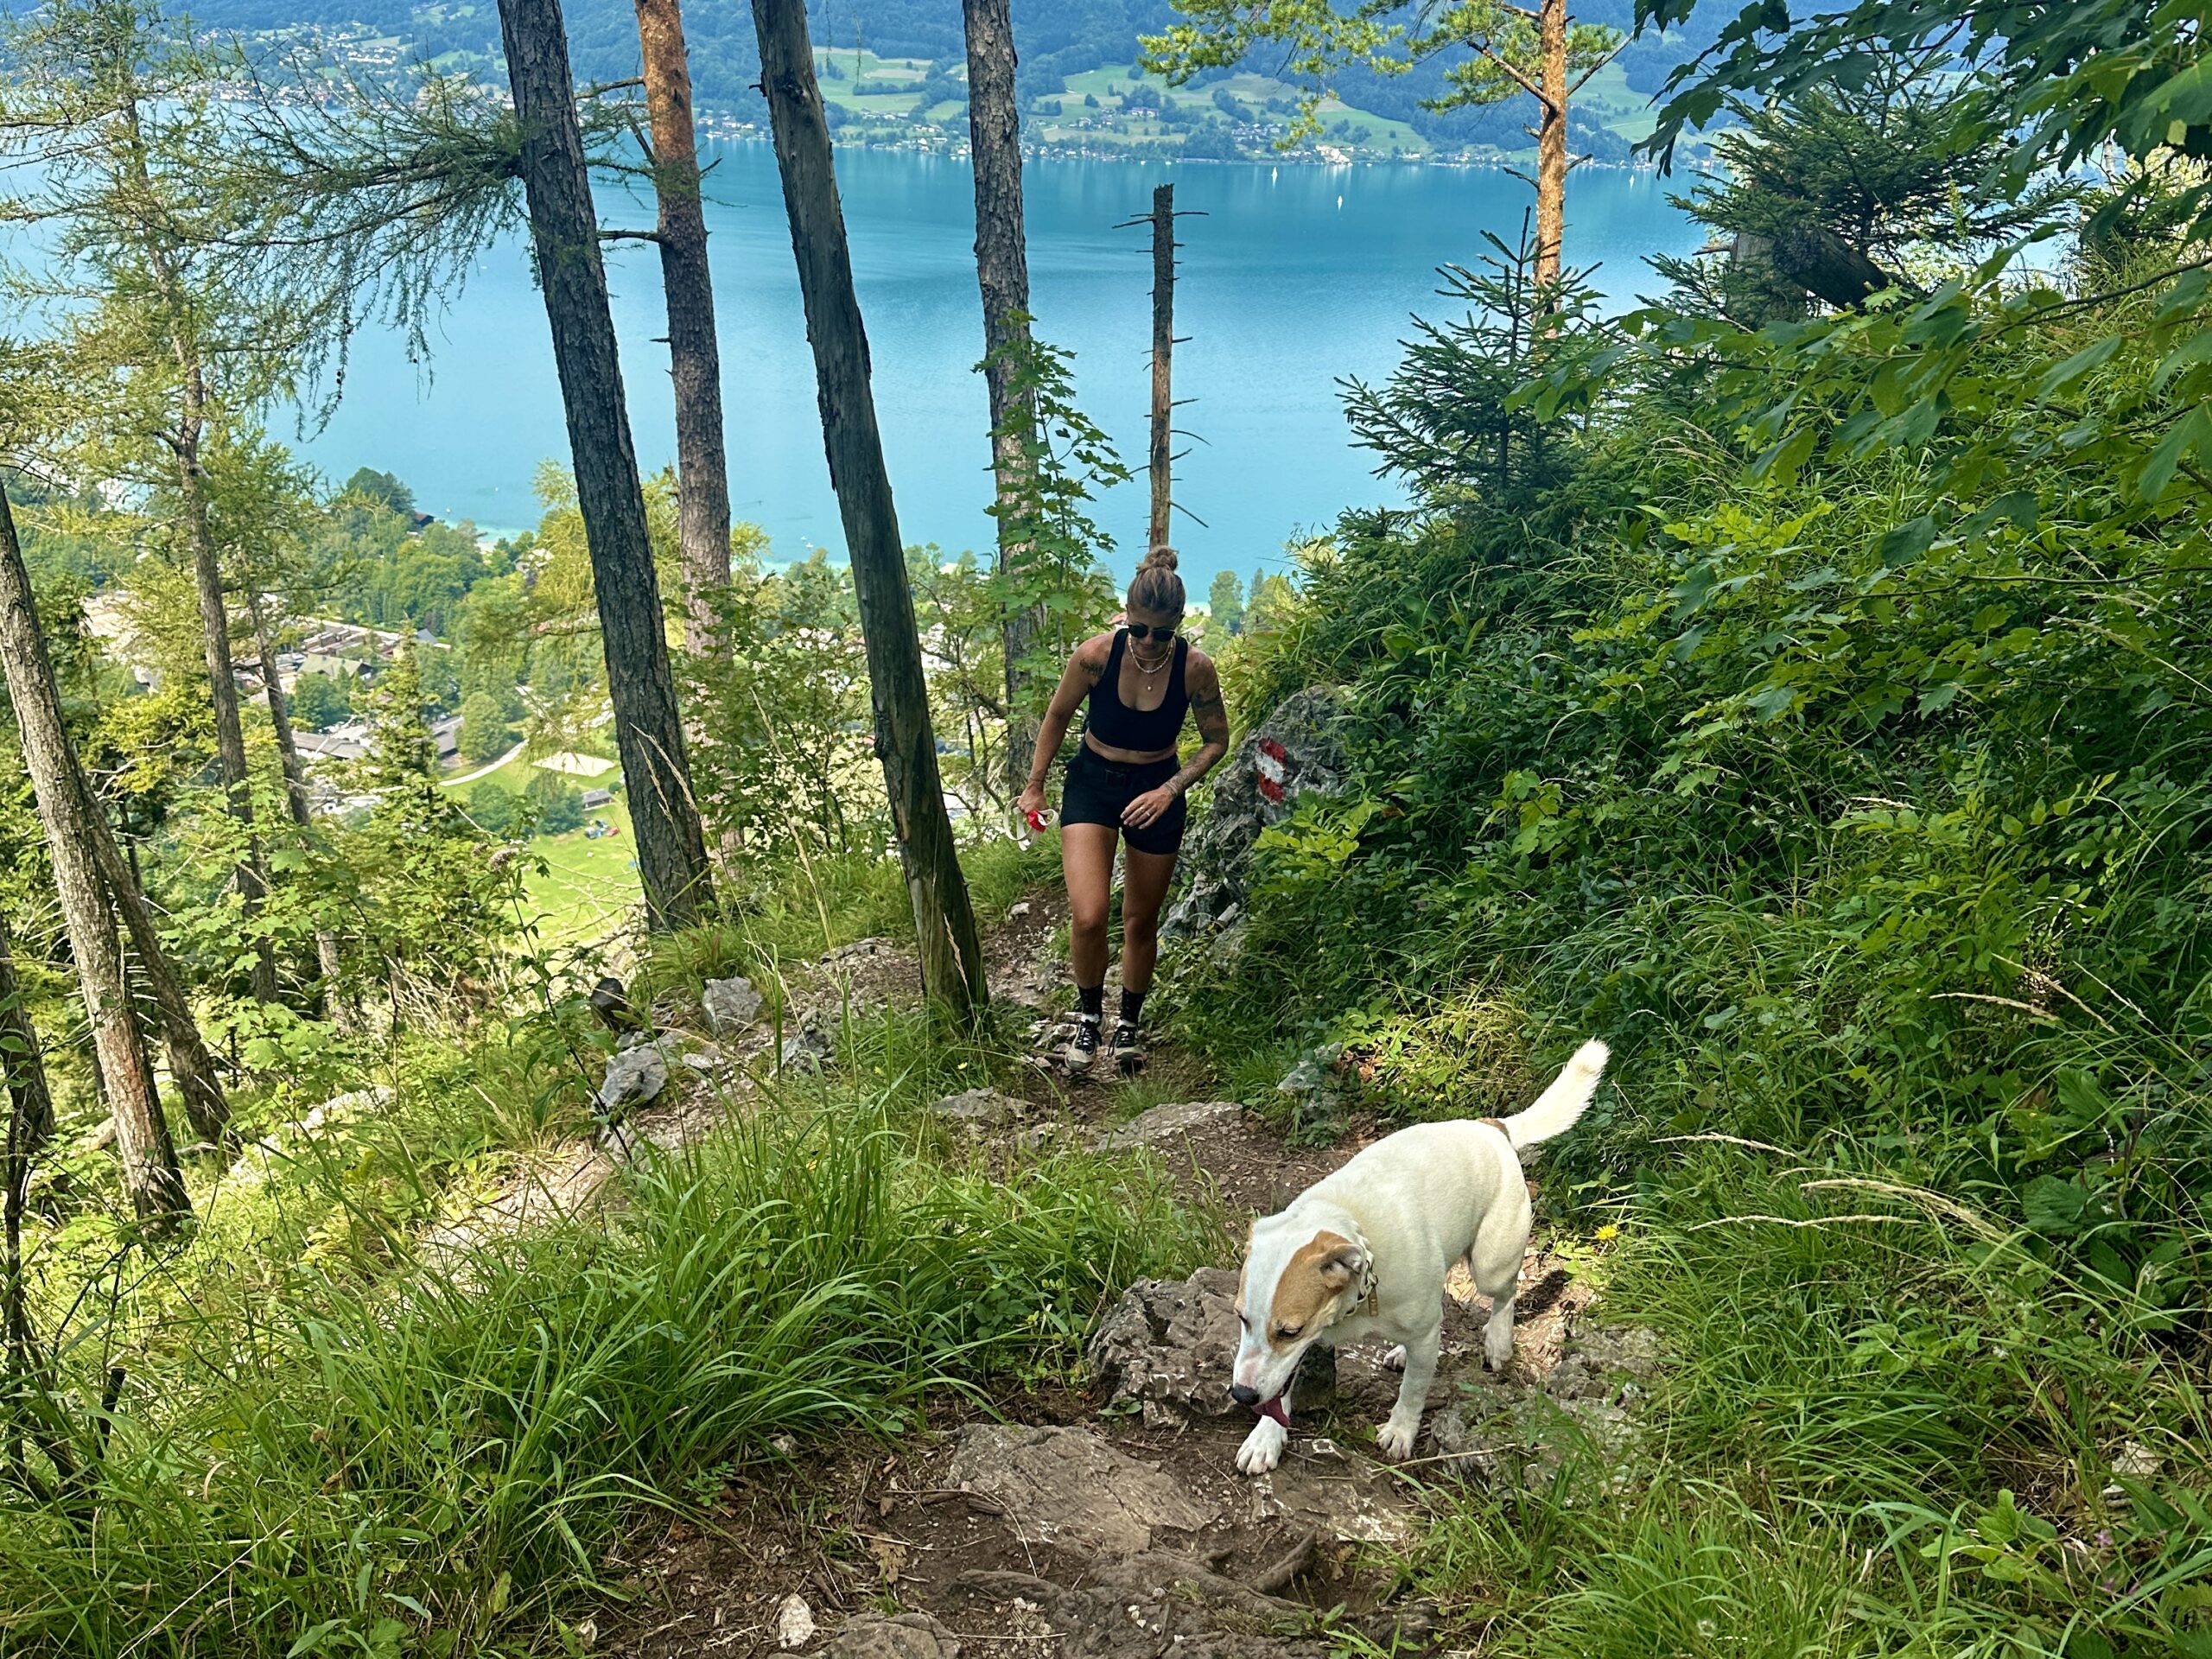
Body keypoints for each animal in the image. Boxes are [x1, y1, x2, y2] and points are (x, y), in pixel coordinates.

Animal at [1230, 1039, 1610, 1478]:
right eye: (1241, 1318)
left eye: (1289, 1330)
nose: (1241, 1394)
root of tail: (1491, 1126)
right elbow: (1283, 1384)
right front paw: (1265, 1436)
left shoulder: (1418, 1336)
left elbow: (1414, 1388)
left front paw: (1401, 1429)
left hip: (1491, 1264)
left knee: (1505, 1294)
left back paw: (1497, 1340)